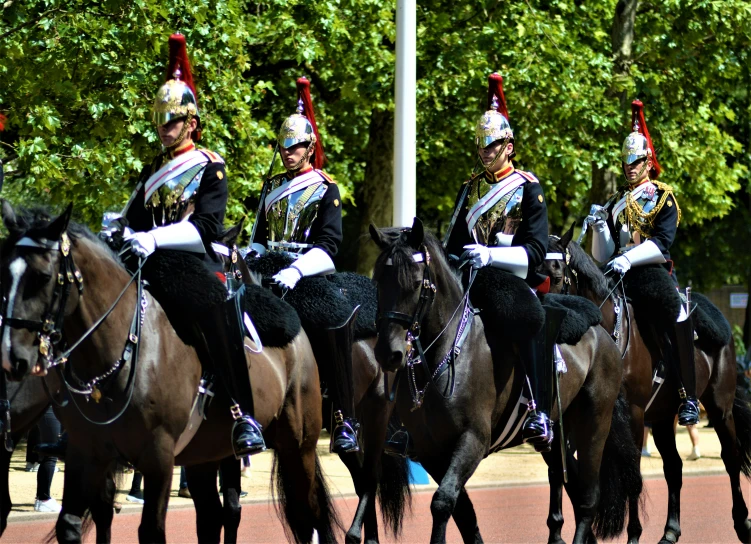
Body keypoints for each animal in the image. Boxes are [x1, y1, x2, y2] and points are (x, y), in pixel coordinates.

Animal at [0, 203, 336, 544]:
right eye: (6, 275)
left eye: (43, 277)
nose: (13, 357)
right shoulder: (86, 452)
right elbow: (72, 523)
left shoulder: (158, 456)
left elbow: (151, 530)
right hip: (206, 453)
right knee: (212, 516)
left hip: (297, 446)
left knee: (309, 514)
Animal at [368, 219, 640, 544]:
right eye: (378, 280)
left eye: (417, 282)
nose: (389, 353)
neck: (444, 354)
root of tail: (602, 333)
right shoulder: (429, 451)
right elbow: (463, 512)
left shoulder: (472, 439)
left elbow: (443, 502)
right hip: (557, 435)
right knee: (569, 482)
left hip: (594, 424)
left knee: (588, 497)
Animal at [540, 230, 751, 544]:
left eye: (555, 275)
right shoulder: (571, 420)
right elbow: (561, 473)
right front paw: (559, 532)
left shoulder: (634, 415)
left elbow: (632, 478)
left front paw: (633, 535)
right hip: (663, 418)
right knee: (674, 468)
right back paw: (670, 532)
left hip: (719, 408)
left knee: (731, 458)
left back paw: (742, 523)